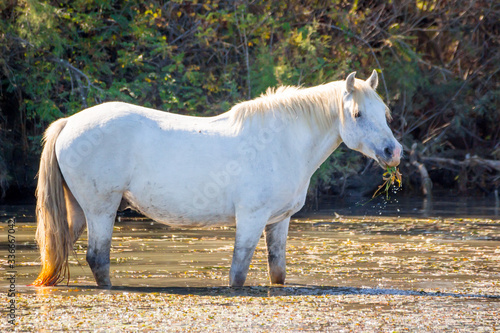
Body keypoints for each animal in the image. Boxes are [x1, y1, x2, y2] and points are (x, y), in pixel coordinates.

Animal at [33, 69, 402, 286]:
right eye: (357, 114)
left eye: (384, 113)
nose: (393, 152)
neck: (280, 141)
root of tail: (69, 122)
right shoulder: (251, 219)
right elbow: (238, 273)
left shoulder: (278, 221)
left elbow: (277, 272)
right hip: (101, 209)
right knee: (98, 259)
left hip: (81, 211)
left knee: (62, 250)